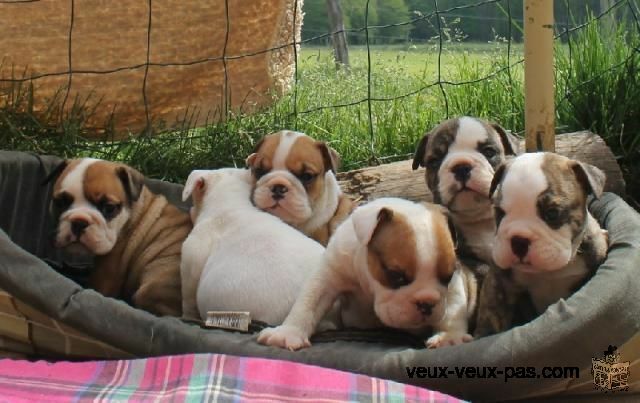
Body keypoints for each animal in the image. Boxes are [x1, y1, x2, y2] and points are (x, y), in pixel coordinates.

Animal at [258, 199, 478, 350]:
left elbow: (454, 306)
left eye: (447, 277)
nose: (427, 303)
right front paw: (288, 333)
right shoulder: (328, 276)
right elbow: (308, 304)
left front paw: (450, 337)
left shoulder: (457, 280)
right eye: (396, 276)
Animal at [478, 152, 608, 334]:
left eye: (552, 213)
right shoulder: (498, 285)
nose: (519, 240)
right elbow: (491, 316)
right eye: (499, 212)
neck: (548, 272)